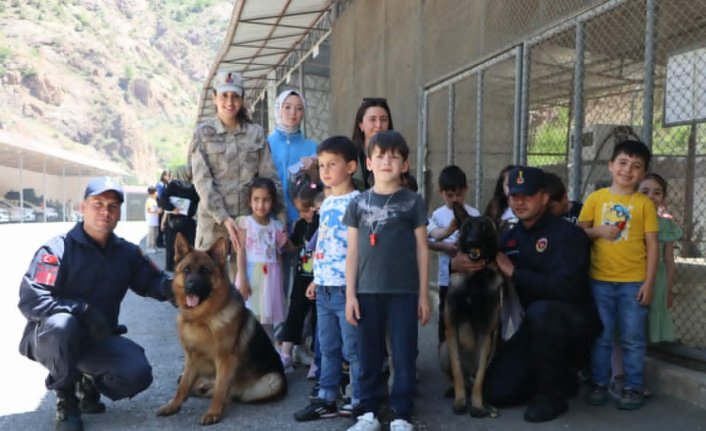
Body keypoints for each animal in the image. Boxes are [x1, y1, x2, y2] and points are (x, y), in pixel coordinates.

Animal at [157, 235, 286, 426]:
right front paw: (173, 405)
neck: (203, 318)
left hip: (270, 383)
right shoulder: (191, 359)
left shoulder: (225, 361)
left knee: (230, 393)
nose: (190, 287)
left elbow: (220, 390)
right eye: (186, 270)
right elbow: (183, 386)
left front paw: (213, 413)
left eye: (205, 270)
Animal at [440, 202, 506, 418]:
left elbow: (480, 376)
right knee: (457, 375)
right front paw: (460, 401)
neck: (475, 280)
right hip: (443, 348)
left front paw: (477, 404)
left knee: (473, 377)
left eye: (484, 227)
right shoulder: (451, 327)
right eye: (467, 227)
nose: (470, 242)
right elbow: (458, 370)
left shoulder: (486, 333)